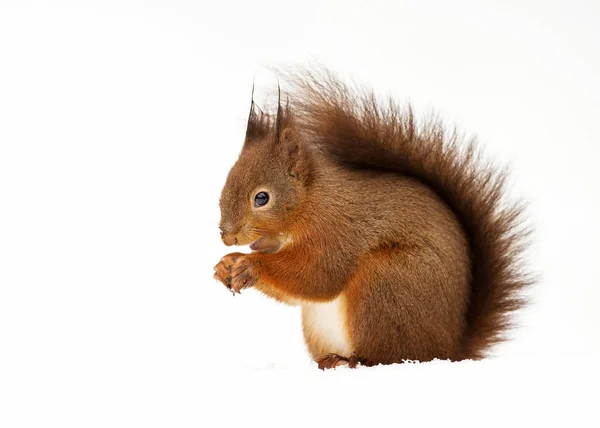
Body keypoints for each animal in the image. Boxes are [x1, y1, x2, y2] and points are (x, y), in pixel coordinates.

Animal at [212, 68, 528, 370]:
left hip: (384, 284)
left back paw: (351, 360)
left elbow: (317, 277)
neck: (311, 202)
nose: (227, 237)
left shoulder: (336, 232)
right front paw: (225, 264)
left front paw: (249, 265)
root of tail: (449, 351)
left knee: (388, 356)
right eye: (226, 184)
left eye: (261, 198)